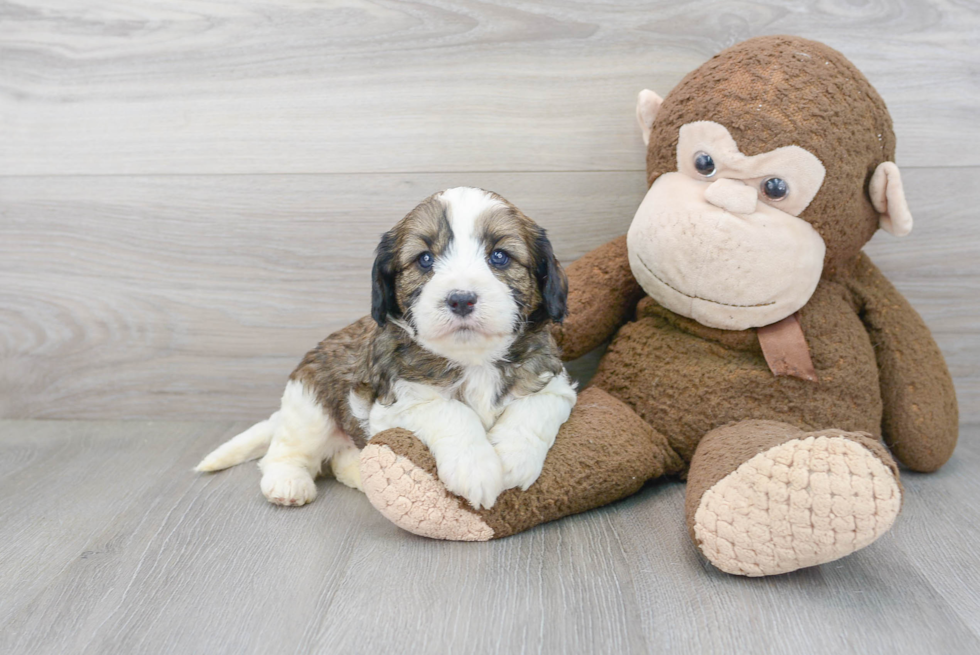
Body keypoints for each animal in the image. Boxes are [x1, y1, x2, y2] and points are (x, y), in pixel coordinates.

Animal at [196, 187, 580, 510]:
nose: (461, 299)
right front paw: (477, 469)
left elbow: (534, 410)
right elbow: (453, 412)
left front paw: (514, 459)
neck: (473, 360)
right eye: (424, 260)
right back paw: (288, 482)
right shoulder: (395, 403)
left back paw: (363, 474)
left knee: (340, 459)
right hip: (309, 406)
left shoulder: (553, 383)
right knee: (285, 451)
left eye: (499, 256)